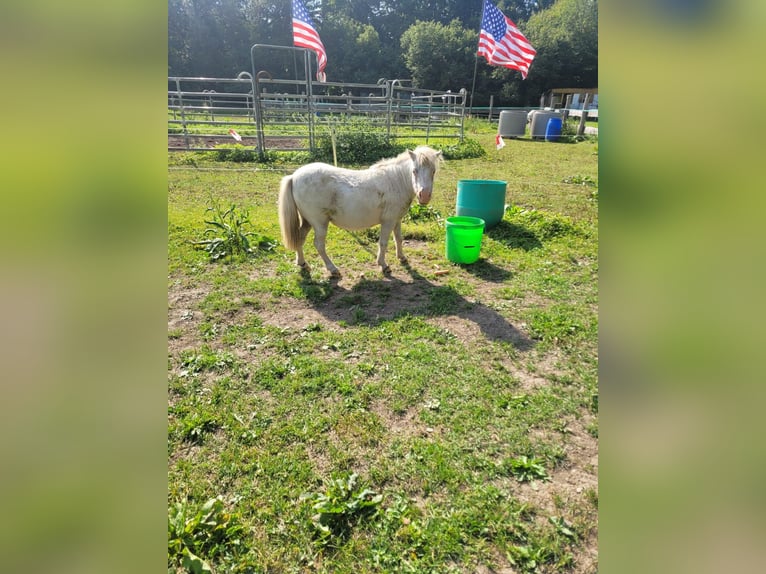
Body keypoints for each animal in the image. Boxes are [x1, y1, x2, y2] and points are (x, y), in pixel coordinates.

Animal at [280, 146, 440, 276]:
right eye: (414, 171)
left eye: (433, 171)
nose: (424, 196)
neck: (396, 181)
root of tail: (294, 176)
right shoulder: (388, 222)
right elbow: (383, 242)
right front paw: (383, 265)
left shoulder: (396, 220)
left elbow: (398, 239)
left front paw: (402, 257)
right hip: (319, 223)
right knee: (319, 245)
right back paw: (332, 269)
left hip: (307, 221)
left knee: (300, 238)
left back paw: (302, 263)